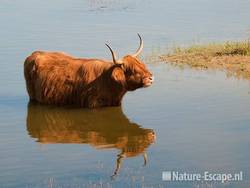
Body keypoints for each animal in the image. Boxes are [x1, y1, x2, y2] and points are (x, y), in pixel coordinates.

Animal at [23, 33, 152, 107]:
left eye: (142, 65)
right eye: (132, 70)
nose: (151, 77)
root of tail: (34, 54)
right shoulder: (93, 103)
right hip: (32, 95)